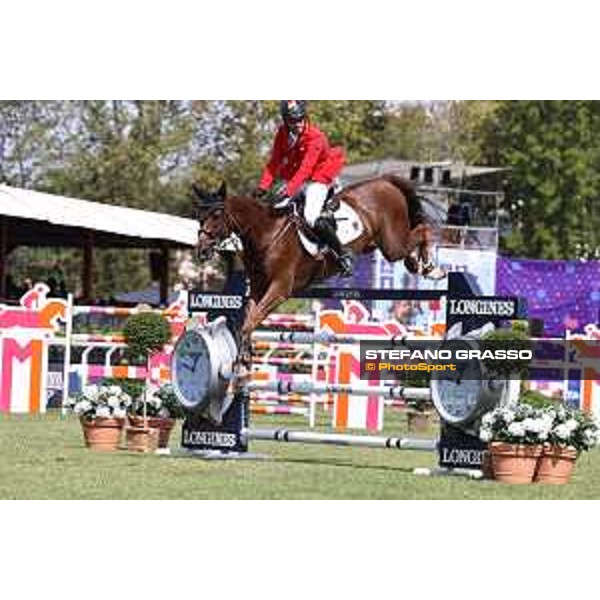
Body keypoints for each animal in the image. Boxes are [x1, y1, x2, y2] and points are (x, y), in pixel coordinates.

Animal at [192, 176, 446, 340]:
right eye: (199, 214)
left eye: (217, 214)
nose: (201, 250)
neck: (266, 234)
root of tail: (385, 182)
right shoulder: (257, 288)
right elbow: (247, 321)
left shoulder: (280, 288)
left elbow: (251, 322)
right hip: (377, 244)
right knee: (410, 243)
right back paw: (417, 265)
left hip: (392, 243)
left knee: (422, 229)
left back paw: (432, 269)